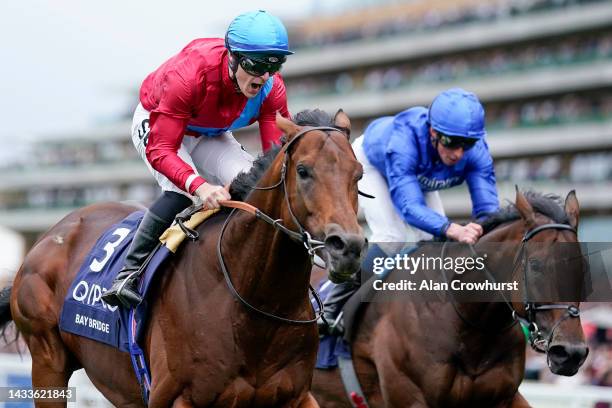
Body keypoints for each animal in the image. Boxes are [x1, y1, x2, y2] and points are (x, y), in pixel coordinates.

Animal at [0, 109, 366, 408]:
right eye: (303, 171)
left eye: (359, 174)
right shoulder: (178, 397)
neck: (254, 302)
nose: (346, 247)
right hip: (47, 360)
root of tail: (50, 236)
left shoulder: (297, 395)